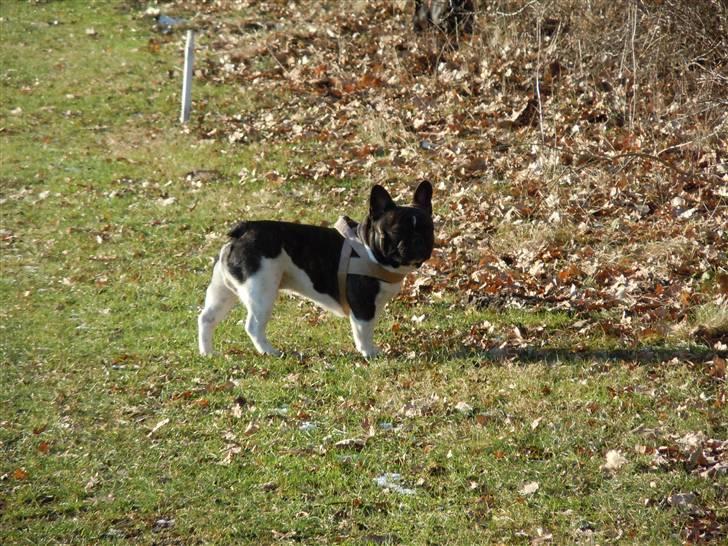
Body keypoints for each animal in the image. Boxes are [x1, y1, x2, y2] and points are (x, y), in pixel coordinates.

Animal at [198, 182, 432, 356]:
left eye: (429, 229)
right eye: (397, 231)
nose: (418, 240)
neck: (368, 247)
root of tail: (243, 231)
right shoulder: (362, 305)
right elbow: (363, 330)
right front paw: (369, 353)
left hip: (223, 290)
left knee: (206, 318)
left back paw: (208, 353)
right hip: (261, 291)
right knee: (253, 326)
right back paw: (269, 352)